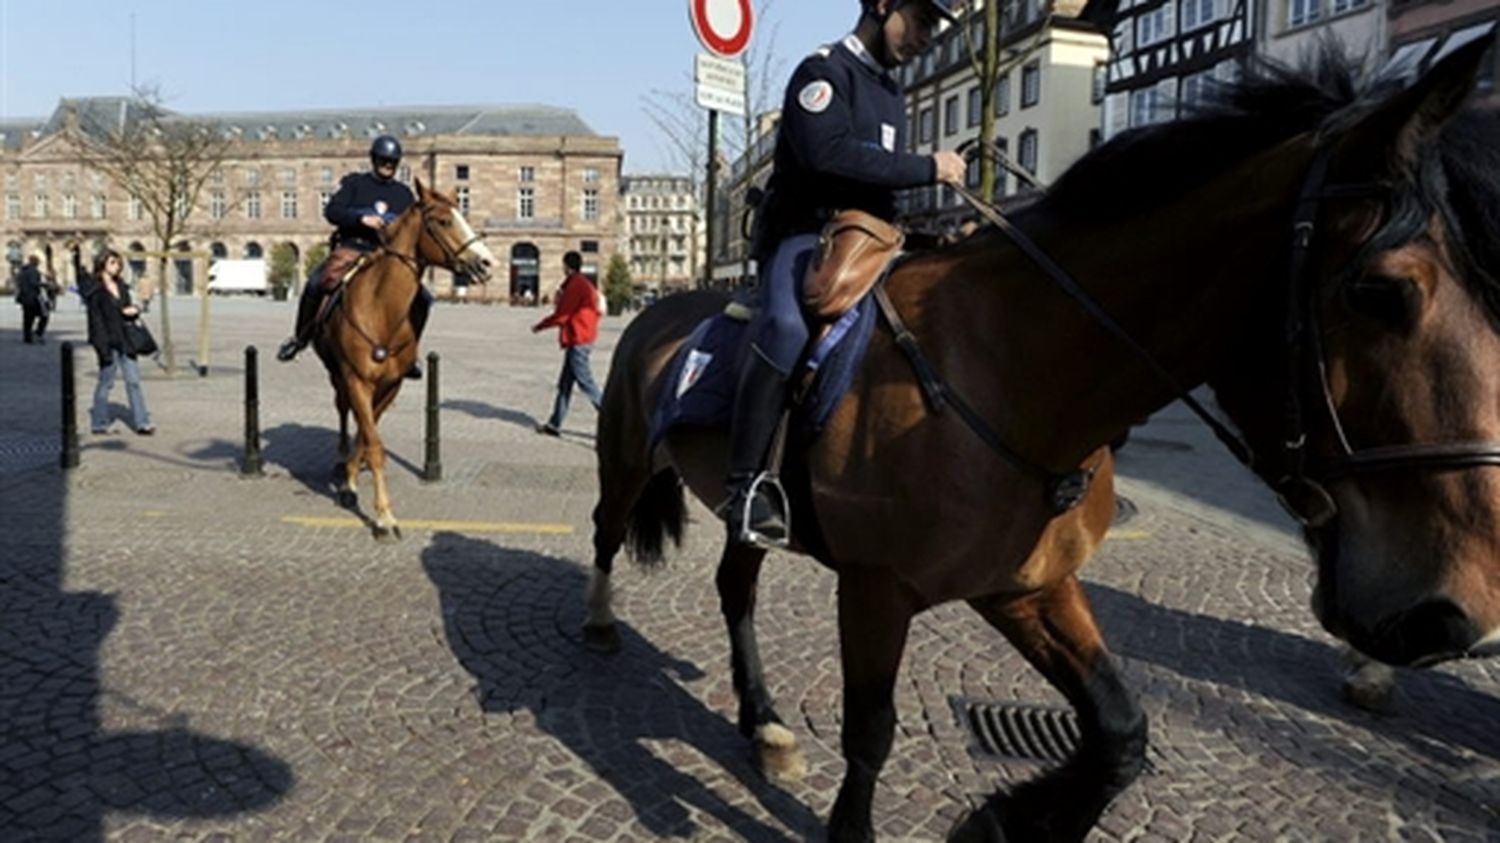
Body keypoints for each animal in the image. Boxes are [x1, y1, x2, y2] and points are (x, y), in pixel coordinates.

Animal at [313, 180, 495, 540]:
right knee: (341, 408)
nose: (485, 262)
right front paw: (383, 516)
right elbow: (373, 442)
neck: (382, 309)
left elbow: (369, 435)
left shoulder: (391, 385)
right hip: (335, 371)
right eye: (442, 221)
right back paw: (340, 457)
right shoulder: (356, 379)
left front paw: (354, 482)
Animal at [582, 44, 1500, 840]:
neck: (1007, 368)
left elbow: (1120, 728)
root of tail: (661, 308)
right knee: (606, 534)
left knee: (735, 586)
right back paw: (600, 625)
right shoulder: (878, 588)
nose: (1456, 611)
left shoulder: (1029, 585)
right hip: (625, 462)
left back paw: (765, 721)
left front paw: (1004, 819)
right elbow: (872, 731)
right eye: (1383, 291)